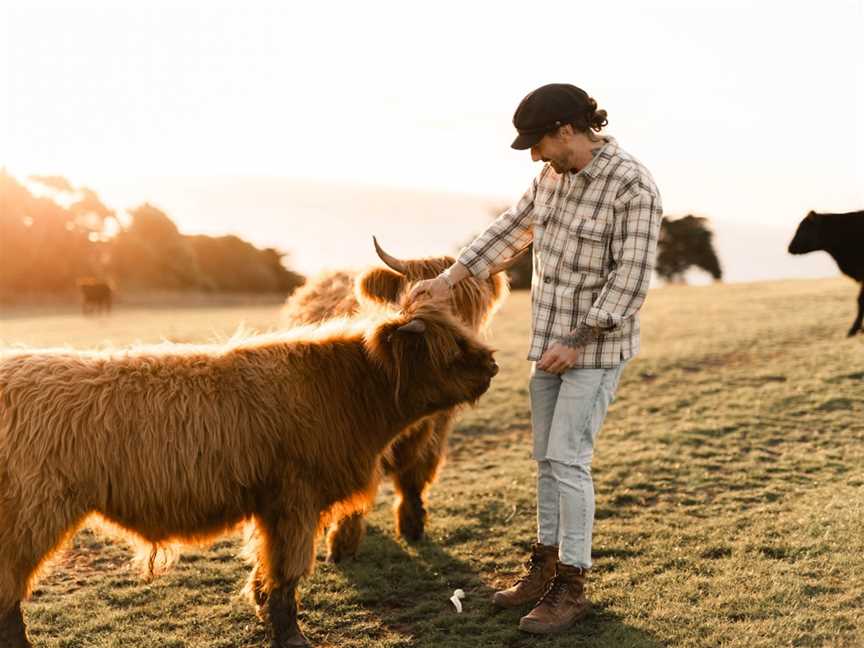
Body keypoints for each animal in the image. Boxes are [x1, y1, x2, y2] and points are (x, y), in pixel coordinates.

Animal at [0, 298, 496, 648]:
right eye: (454, 347)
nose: (492, 363)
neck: (344, 392)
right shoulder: (296, 500)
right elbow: (288, 570)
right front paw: (291, 636)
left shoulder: (272, 506)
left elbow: (266, 565)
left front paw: (262, 608)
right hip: (32, 513)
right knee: (9, 583)